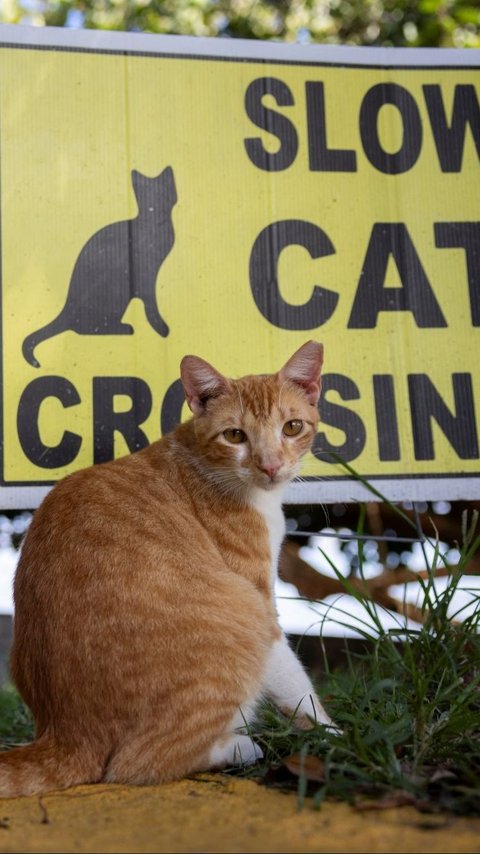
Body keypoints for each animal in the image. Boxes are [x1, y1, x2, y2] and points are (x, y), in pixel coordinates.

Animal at [0, 340, 334, 796]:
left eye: (292, 427)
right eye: (235, 435)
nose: (270, 466)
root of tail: (64, 733)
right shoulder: (261, 602)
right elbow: (296, 684)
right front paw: (335, 735)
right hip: (241, 613)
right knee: (138, 764)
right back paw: (239, 746)